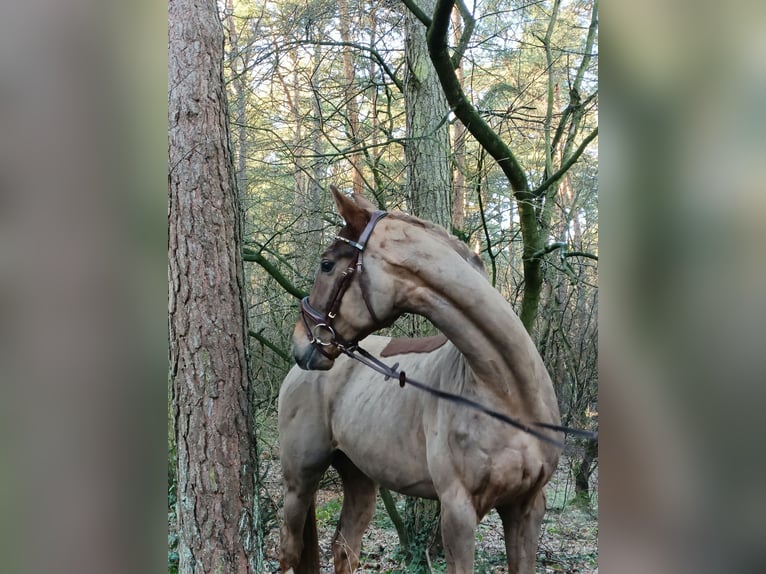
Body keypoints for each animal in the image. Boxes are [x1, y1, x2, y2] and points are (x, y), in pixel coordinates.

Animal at [280, 190, 564, 574]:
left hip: (358, 477)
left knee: (344, 547)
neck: (508, 392)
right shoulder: (458, 512)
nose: (301, 342)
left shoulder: (527, 507)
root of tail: (295, 375)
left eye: (327, 264)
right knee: (290, 552)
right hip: (299, 481)